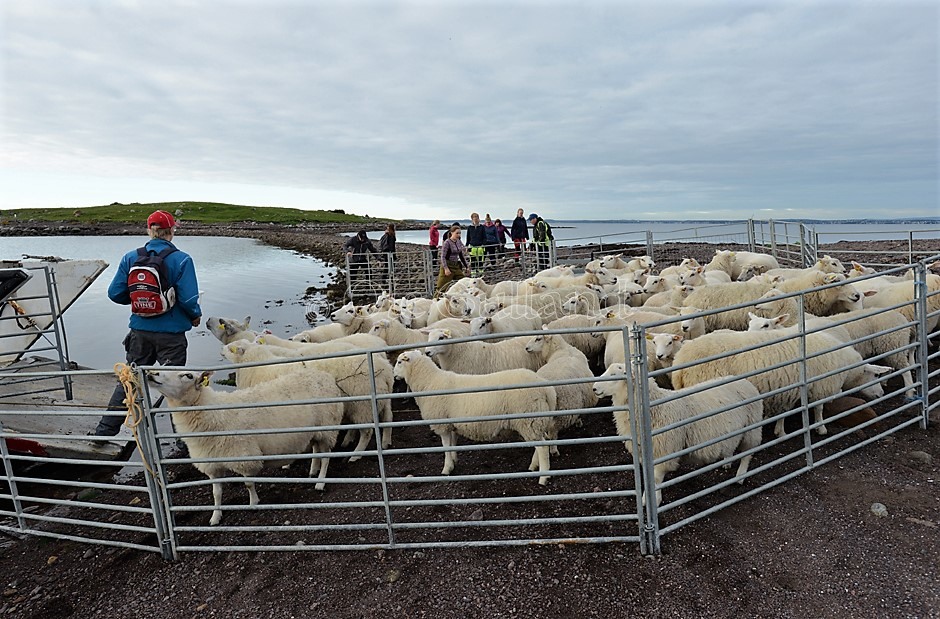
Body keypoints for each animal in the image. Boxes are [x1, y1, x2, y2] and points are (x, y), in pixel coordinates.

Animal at [143, 370, 342, 524]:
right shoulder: (212, 464)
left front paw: (253, 503)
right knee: (316, 449)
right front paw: (215, 517)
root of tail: (324, 375)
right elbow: (216, 493)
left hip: (328, 427)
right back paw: (312, 471)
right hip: (316, 431)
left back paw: (320, 482)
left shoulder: (246, 455)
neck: (213, 413)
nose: (152, 374)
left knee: (326, 457)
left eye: (188, 375)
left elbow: (248, 483)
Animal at [392, 352, 560, 486]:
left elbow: (445, 446)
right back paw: (534, 466)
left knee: (542, 448)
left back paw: (543, 478)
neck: (429, 381)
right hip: (536, 421)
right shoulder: (451, 423)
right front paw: (454, 462)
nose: (394, 376)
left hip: (529, 420)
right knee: (542, 443)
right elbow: (452, 444)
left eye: (399, 362)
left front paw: (446, 469)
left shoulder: (442, 423)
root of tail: (547, 389)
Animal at [596, 366, 764, 506]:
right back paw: (727, 461)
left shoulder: (664, 451)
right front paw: (645, 499)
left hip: (752, 429)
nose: (594, 388)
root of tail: (746, 382)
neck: (654, 408)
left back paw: (740, 477)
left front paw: (655, 501)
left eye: (614, 375)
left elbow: (656, 479)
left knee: (747, 454)